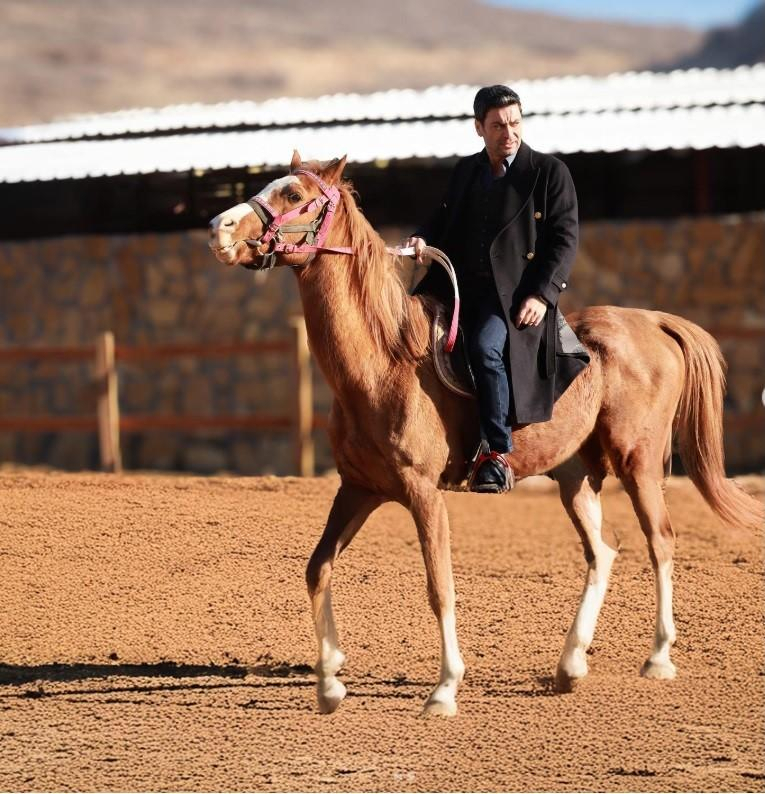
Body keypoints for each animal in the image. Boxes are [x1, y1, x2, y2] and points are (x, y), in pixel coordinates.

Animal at [207, 152, 760, 716]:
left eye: (295, 195)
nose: (218, 228)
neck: (383, 361)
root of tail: (652, 322)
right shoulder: (357, 489)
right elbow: (317, 569)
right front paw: (329, 683)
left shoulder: (423, 493)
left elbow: (440, 587)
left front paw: (444, 688)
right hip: (575, 477)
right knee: (602, 552)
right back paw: (571, 665)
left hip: (638, 464)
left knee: (660, 542)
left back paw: (658, 657)